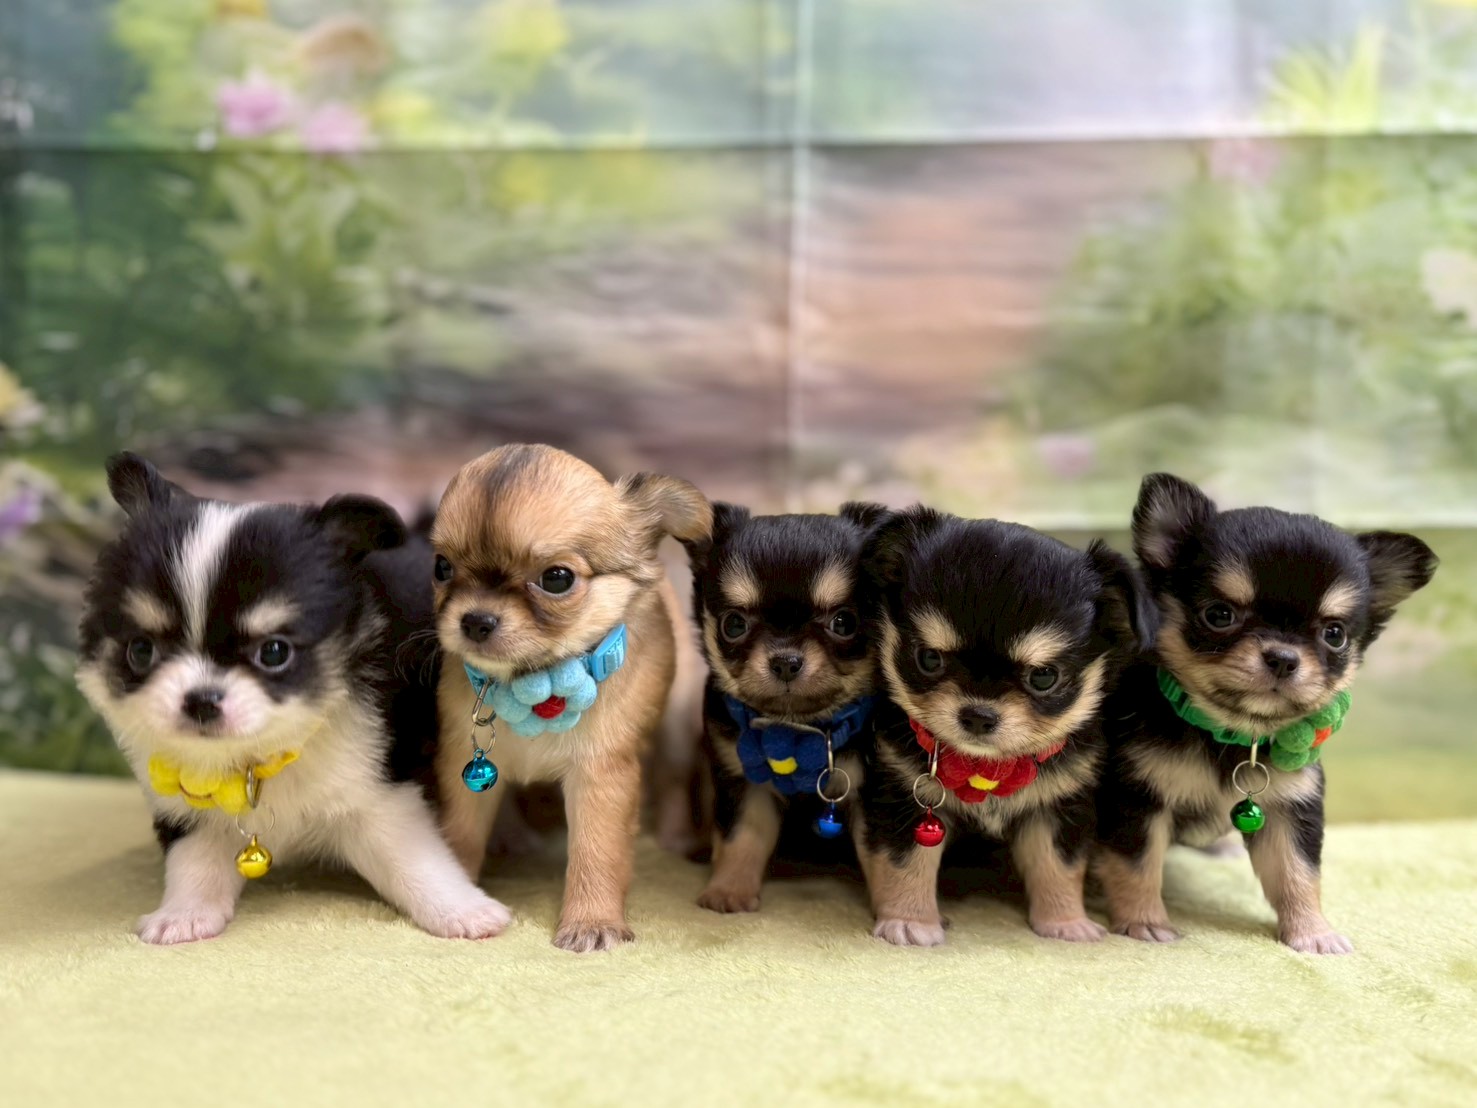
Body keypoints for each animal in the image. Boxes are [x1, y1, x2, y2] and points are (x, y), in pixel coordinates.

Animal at [76, 453, 510, 944]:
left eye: (274, 652)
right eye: (141, 651)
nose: (200, 700)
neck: (257, 761)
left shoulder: (379, 792)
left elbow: (415, 860)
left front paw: (464, 910)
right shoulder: (187, 808)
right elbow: (195, 860)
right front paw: (183, 914)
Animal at [429, 444, 710, 952]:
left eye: (556, 579)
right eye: (442, 568)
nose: (475, 619)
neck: (535, 684)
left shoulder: (600, 775)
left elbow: (594, 854)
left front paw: (591, 922)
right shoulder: (464, 765)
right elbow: (460, 834)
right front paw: (458, 895)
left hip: (677, 728)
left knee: (674, 781)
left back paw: (677, 837)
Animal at [680, 502, 888, 913]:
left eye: (844, 622)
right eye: (734, 625)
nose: (786, 661)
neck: (796, 728)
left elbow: (882, 856)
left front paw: (902, 911)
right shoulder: (743, 781)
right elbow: (741, 837)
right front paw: (729, 891)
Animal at [857, 507, 1147, 946]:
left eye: (1044, 677)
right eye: (929, 659)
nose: (978, 714)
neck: (986, 768)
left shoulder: (1056, 811)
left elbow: (1058, 869)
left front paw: (1066, 923)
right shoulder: (906, 801)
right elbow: (907, 866)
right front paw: (909, 922)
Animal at [1096, 473, 1438, 953]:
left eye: (1335, 634)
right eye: (1219, 615)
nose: (1283, 657)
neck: (1234, 734)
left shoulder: (1288, 810)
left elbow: (1298, 874)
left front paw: (1313, 932)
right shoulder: (1138, 798)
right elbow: (1138, 866)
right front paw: (1143, 922)